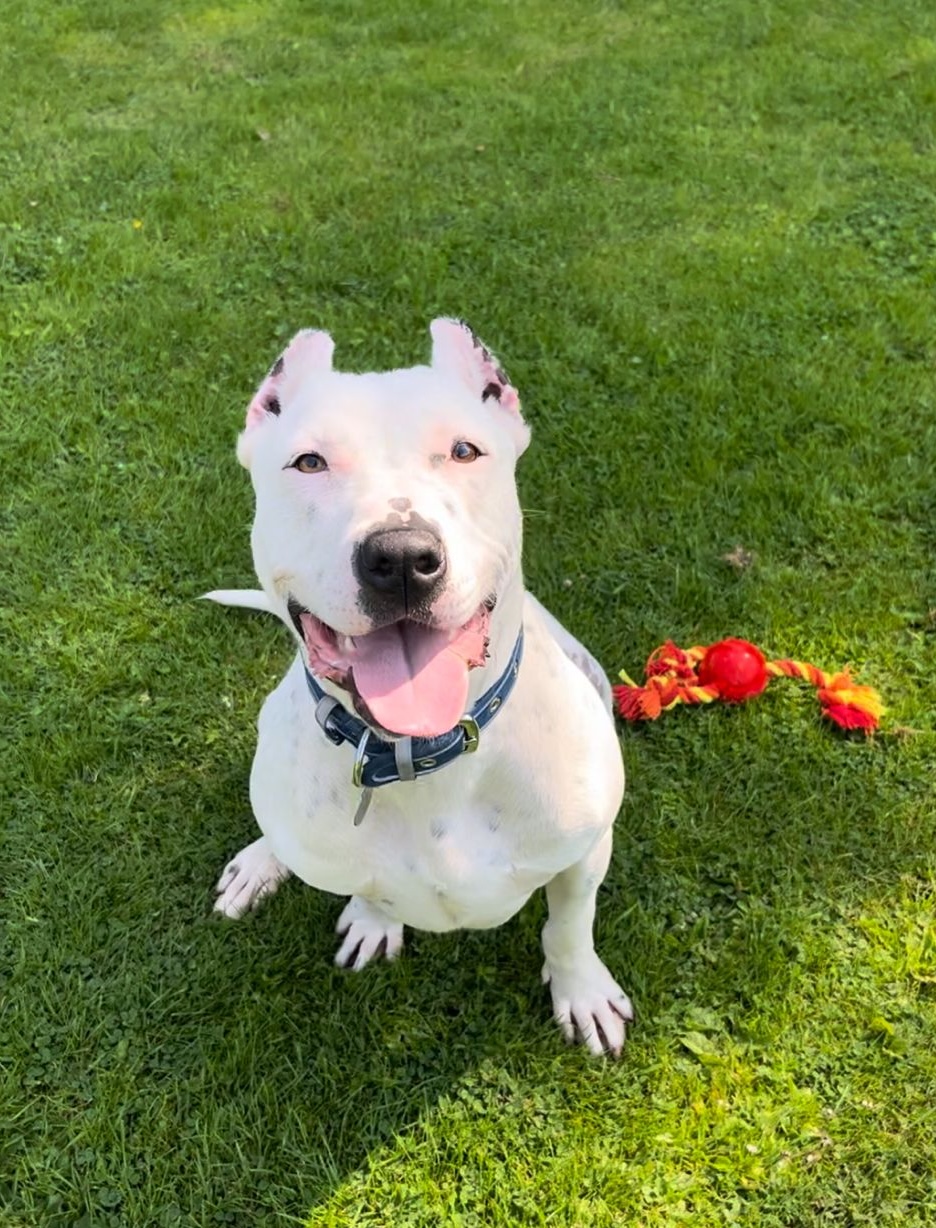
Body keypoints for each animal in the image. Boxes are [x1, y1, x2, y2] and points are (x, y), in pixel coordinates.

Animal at [207, 319, 628, 1056]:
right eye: (308, 463)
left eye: (464, 451)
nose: (401, 556)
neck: (417, 754)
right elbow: (372, 888)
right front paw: (375, 917)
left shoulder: (584, 852)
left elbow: (570, 922)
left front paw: (581, 989)